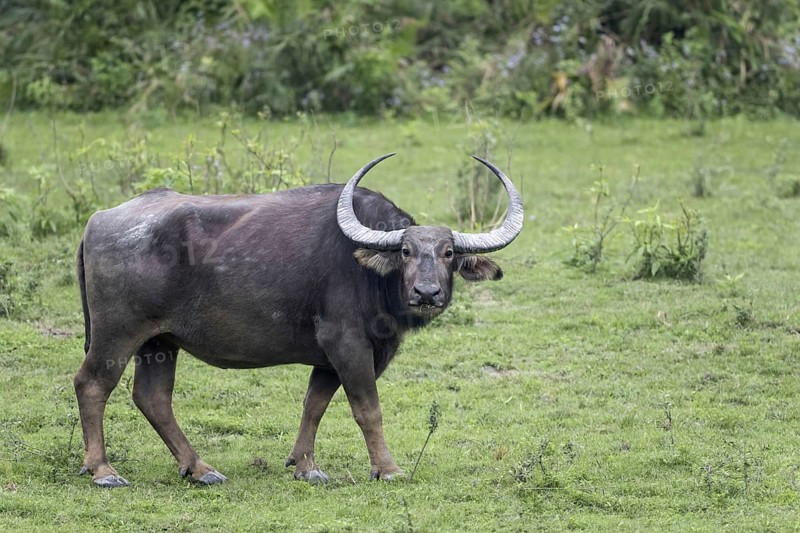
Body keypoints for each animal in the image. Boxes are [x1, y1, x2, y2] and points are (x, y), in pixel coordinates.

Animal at [73, 154, 523, 487]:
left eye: (448, 253)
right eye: (406, 251)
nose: (427, 293)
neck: (368, 273)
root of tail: (98, 220)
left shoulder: (329, 359)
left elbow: (314, 404)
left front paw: (306, 466)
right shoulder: (348, 345)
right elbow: (368, 408)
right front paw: (388, 468)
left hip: (159, 343)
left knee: (153, 398)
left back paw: (201, 469)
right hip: (117, 335)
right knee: (92, 384)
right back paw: (103, 471)